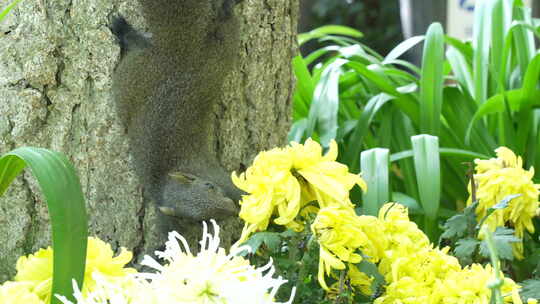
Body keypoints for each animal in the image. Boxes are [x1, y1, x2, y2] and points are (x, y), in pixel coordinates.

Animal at [112, 1, 243, 222]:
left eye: (210, 186)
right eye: (202, 219)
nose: (231, 209)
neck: (162, 181)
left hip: (135, 69)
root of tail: (180, 48)